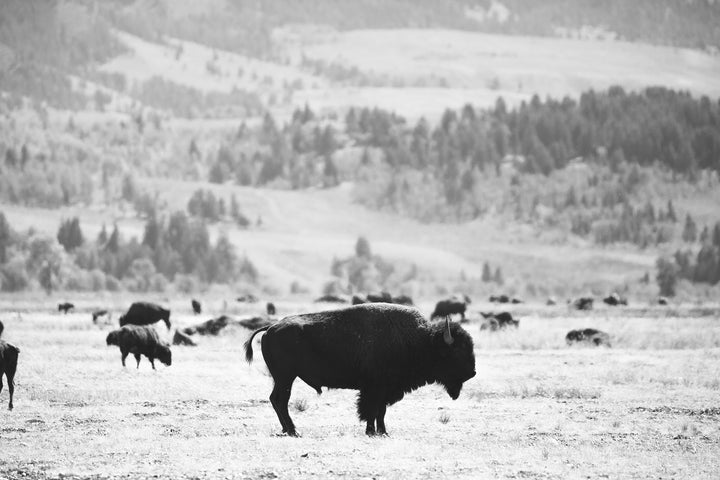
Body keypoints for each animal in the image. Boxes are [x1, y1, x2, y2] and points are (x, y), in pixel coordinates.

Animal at [245, 306, 476, 436]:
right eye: (457, 351)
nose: (472, 372)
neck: (421, 341)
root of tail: (270, 328)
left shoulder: (383, 390)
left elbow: (380, 411)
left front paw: (382, 432)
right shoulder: (375, 388)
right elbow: (371, 410)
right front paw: (373, 432)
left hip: (283, 378)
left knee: (277, 400)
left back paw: (288, 430)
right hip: (286, 377)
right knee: (280, 400)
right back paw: (294, 431)